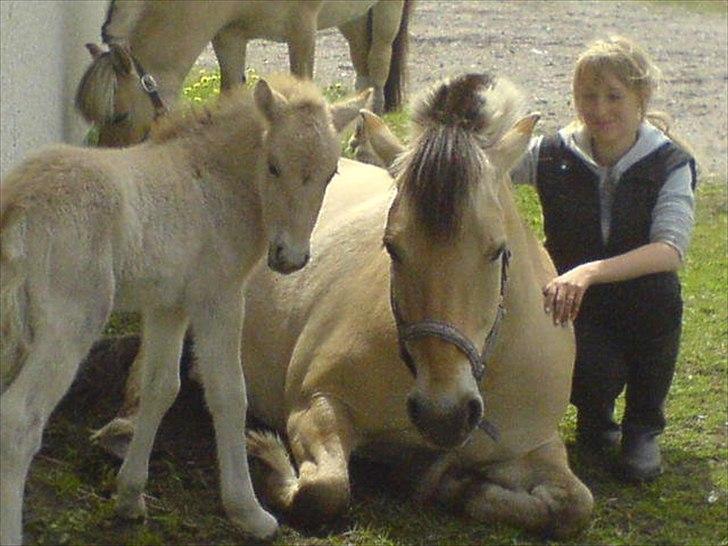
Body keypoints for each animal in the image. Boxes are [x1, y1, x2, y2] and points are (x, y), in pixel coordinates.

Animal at [0, 73, 372, 544]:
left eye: (330, 174)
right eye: (273, 165)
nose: (290, 258)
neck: (213, 182)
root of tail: (19, 204)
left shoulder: (168, 306)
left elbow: (160, 387)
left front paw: (130, 497)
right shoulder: (219, 299)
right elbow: (229, 394)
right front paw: (249, 512)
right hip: (71, 322)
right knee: (19, 421)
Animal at [77, 0, 412, 147]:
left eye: (119, 116)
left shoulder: (302, 28)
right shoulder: (229, 37)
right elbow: (230, 93)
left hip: (387, 10)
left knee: (379, 66)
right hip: (351, 17)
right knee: (363, 66)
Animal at [96, 72, 596, 536]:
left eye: (497, 250)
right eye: (392, 247)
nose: (444, 412)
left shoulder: (534, 444)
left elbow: (573, 506)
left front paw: (457, 485)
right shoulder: (316, 405)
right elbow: (325, 490)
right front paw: (269, 459)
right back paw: (123, 431)